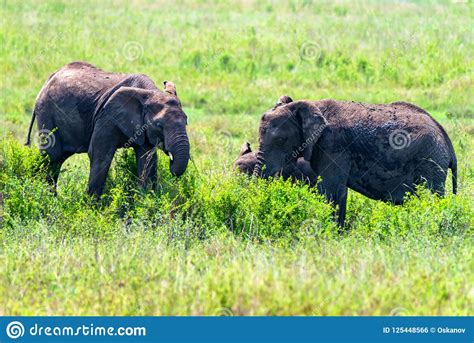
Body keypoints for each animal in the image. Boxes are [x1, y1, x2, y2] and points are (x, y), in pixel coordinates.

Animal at [26, 61, 191, 196]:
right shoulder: (106, 117)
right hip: (46, 113)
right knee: (51, 156)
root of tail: (50, 78)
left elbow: (147, 159)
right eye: (159, 125)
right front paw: (93, 209)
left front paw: (145, 201)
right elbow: (100, 155)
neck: (149, 92)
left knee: (57, 159)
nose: (171, 161)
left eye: (186, 122)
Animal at [254, 95, 458, 227]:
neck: (312, 105)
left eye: (280, 140)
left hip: (430, 160)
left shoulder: (333, 144)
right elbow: (338, 192)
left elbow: (330, 190)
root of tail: (446, 139)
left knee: (431, 197)